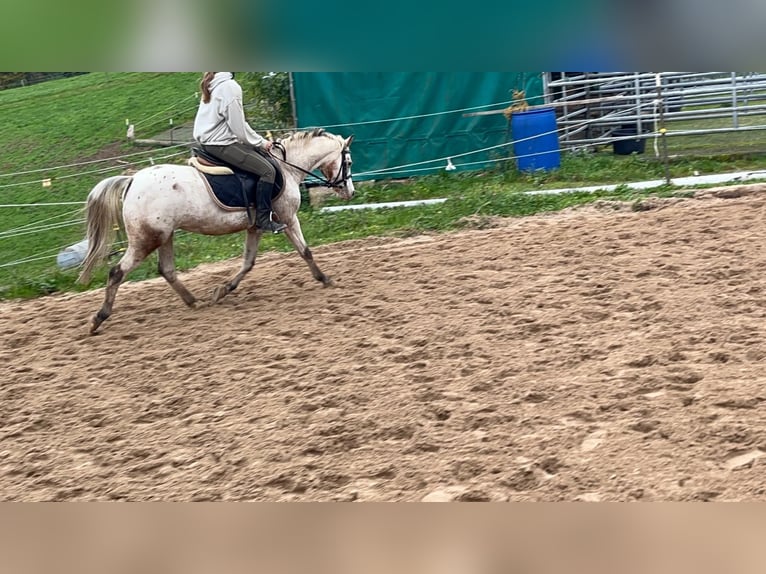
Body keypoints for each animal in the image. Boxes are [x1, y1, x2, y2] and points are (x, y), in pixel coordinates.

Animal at [77, 128, 355, 334]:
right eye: (349, 162)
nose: (350, 192)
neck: (287, 167)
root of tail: (132, 180)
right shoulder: (288, 217)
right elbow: (305, 251)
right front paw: (325, 278)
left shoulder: (255, 227)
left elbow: (248, 262)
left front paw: (222, 290)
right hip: (146, 239)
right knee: (117, 272)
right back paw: (98, 319)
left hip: (165, 236)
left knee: (166, 270)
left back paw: (193, 301)